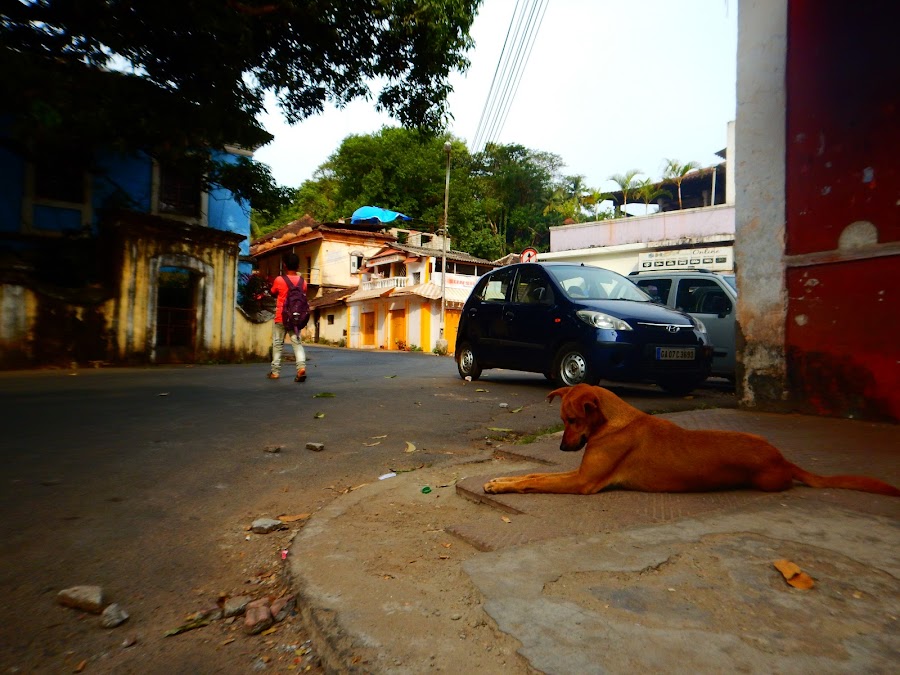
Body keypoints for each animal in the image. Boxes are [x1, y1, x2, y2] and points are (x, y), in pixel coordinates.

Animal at [486, 382, 900, 500]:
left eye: (572, 421)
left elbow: (534, 480)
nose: (561, 448)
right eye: (562, 422)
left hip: (766, 481)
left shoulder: (584, 482)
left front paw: (504, 484)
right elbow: (534, 475)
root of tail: (782, 457)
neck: (613, 421)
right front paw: (499, 480)